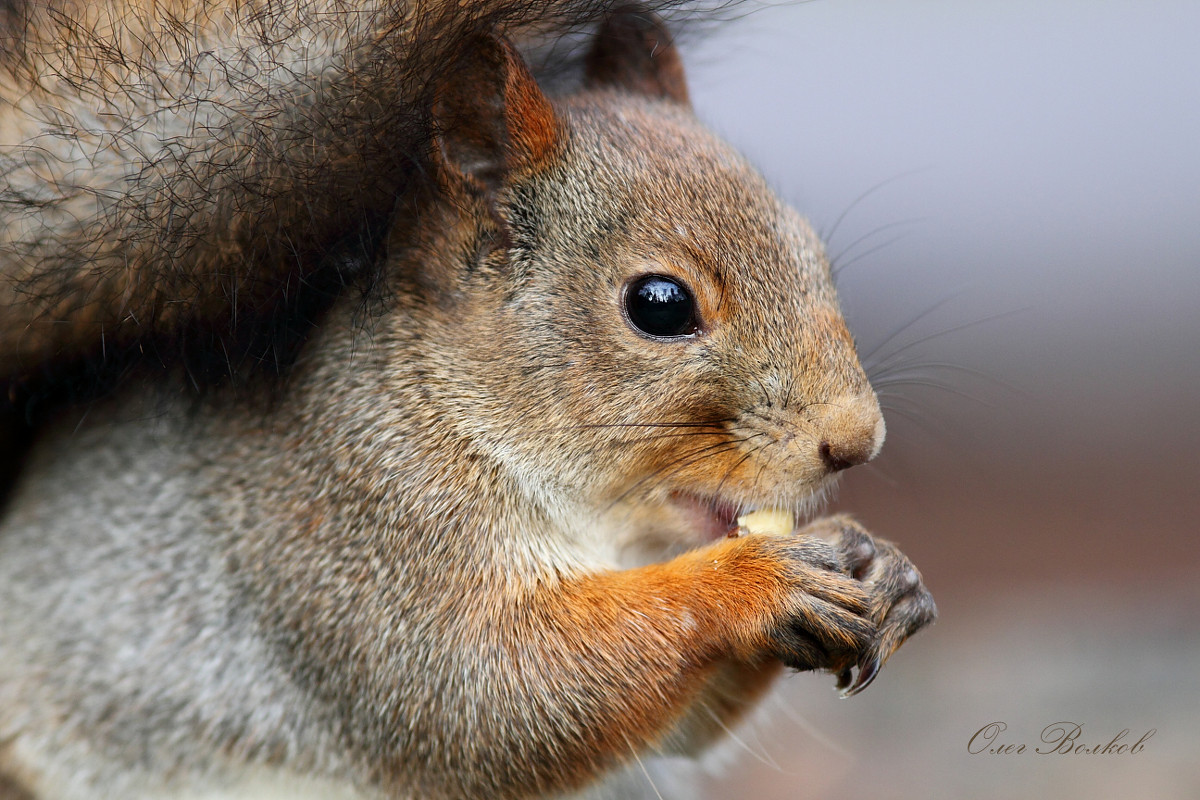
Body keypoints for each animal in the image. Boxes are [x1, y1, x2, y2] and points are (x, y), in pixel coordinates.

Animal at [0, 1, 936, 800]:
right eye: (659, 304)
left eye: (813, 252)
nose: (856, 440)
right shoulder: (357, 526)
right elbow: (490, 690)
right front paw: (753, 583)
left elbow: (672, 729)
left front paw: (886, 570)